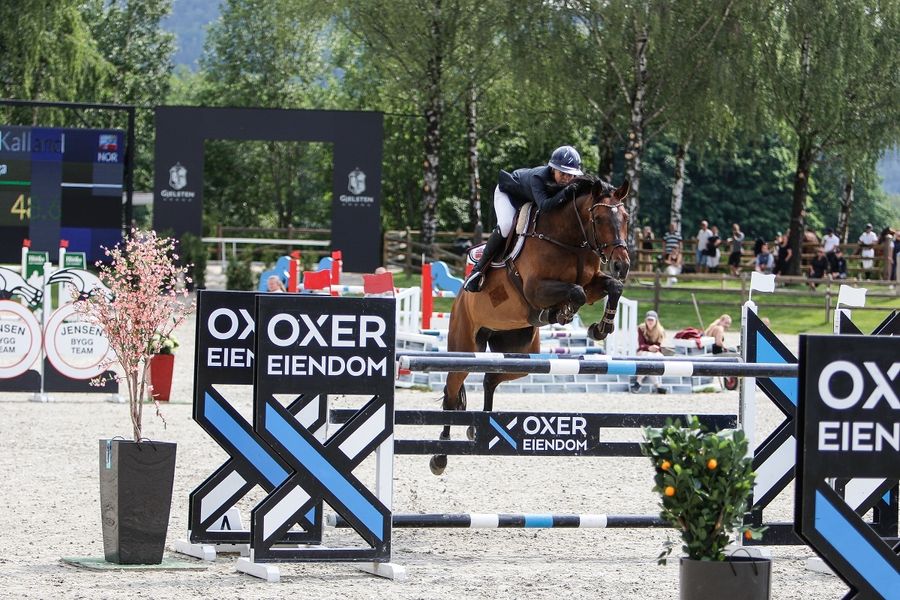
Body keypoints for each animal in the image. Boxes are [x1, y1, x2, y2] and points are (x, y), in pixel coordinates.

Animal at [429, 177, 631, 475]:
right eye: (600, 218)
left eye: (626, 218)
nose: (622, 265)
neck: (571, 241)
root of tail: (459, 301)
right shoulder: (535, 289)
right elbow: (575, 293)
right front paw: (562, 313)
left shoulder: (593, 283)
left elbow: (611, 287)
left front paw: (599, 328)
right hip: (464, 348)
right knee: (452, 393)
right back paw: (440, 455)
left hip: (520, 352)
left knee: (491, 377)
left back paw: (479, 429)